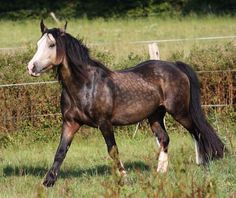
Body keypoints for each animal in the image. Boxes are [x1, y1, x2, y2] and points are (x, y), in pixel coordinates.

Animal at [26, 20, 226, 187]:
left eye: (51, 45)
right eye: (37, 45)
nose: (31, 67)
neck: (84, 85)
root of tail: (175, 66)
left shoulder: (104, 123)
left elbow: (113, 150)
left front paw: (125, 178)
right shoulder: (70, 123)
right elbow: (61, 151)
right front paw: (48, 182)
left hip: (180, 112)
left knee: (197, 132)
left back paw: (204, 164)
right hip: (155, 116)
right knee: (165, 138)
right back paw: (160, 172)